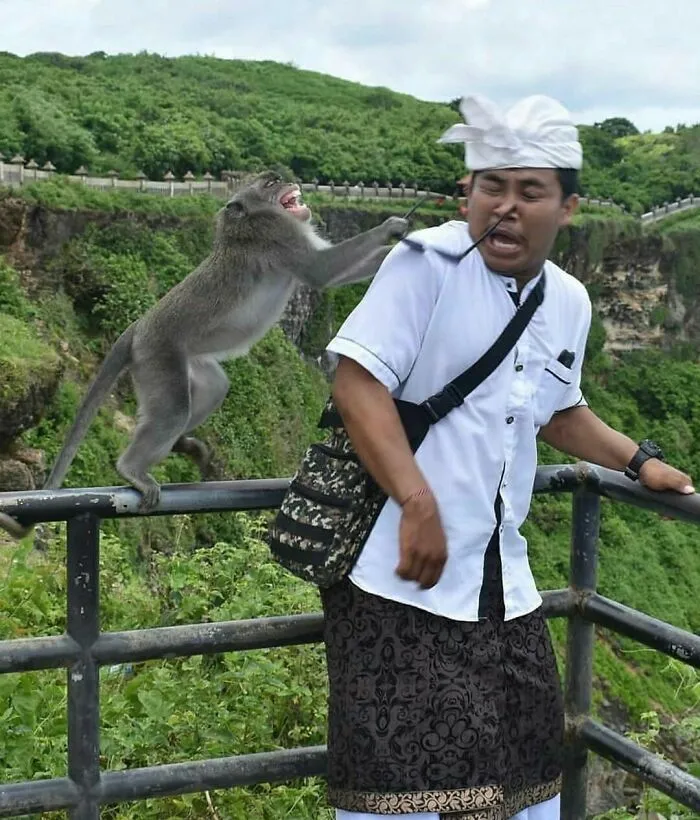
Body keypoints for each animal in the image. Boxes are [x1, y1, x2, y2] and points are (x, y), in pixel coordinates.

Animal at [0, 170, 409, 539]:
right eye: (270, 182)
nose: (289, 177)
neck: (247, 221)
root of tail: (136, 328)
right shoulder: (275, 235)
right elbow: (321, 270)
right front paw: (393, 233)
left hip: (183, 360)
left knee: (213, 386)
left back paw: (182, 442)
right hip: (157, 356)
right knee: (172, 410)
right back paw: (132, 469)